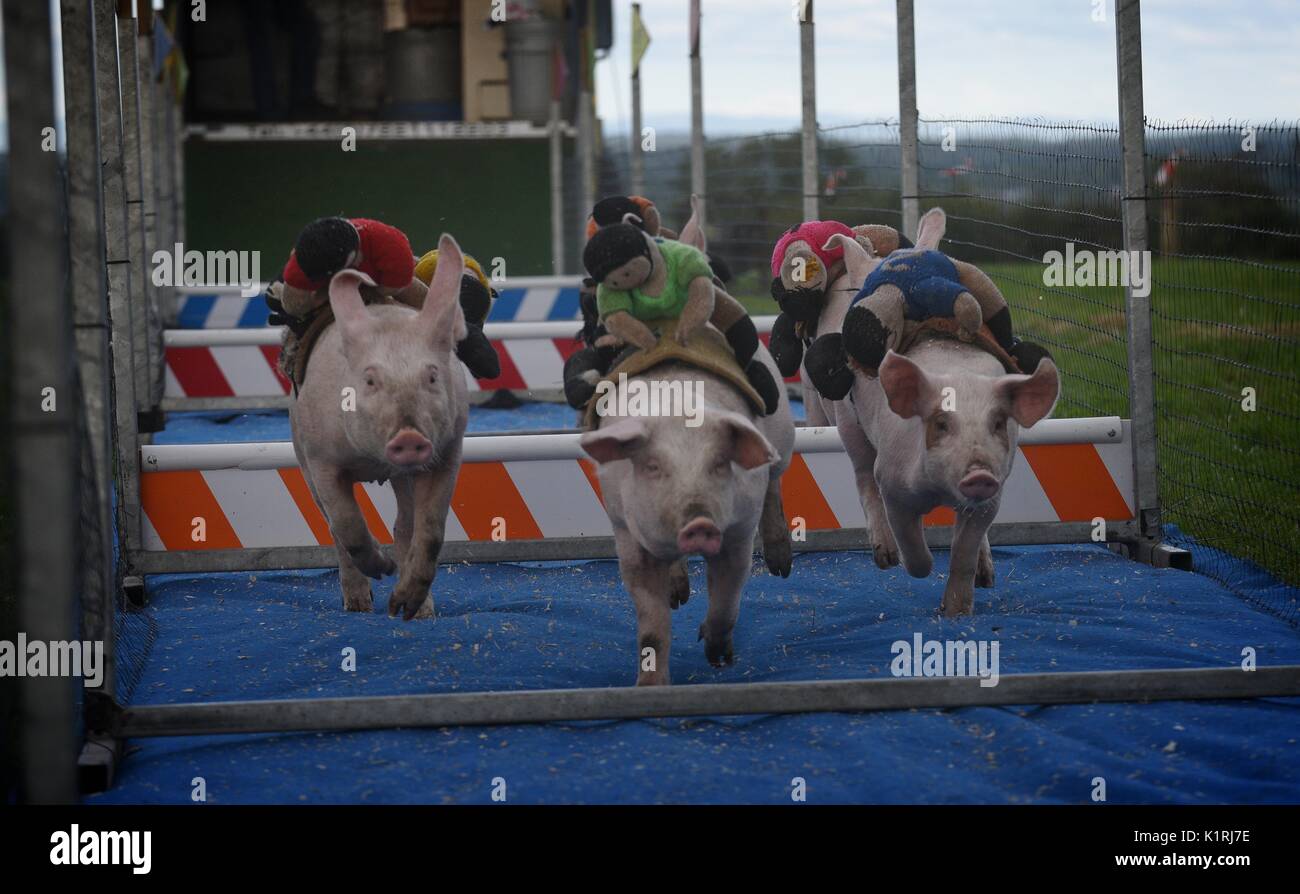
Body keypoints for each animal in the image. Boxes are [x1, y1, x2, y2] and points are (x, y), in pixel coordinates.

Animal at [287, 233, 470, 618]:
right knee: (333, 526)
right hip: (299, 448)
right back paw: (359, 605)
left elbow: (431, 530)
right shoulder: (320, 457)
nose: (409, 435)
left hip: (407, 474)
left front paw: (404, 605)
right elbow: (345, 523)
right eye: (370, 381)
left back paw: (417, 610)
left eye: (432, 376)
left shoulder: (449, 449)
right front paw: (382, 570)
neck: (372, 461)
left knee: (404, 526)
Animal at [585, 353, 795, 686]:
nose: (699, 524)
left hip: (782, 436)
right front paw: (648, 688)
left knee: (774, 479)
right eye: (653, 466)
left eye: (720, 464)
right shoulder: (626, 533)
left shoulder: (739, 531)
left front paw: (719, 658)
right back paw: (677, 596)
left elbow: (727, 596)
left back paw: (780, 567)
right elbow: (652, 629)